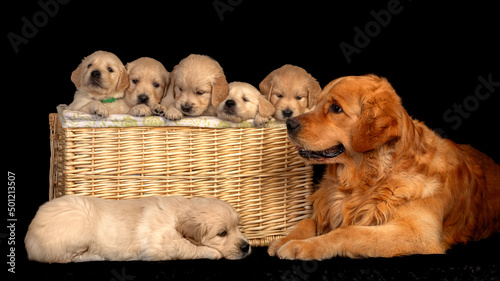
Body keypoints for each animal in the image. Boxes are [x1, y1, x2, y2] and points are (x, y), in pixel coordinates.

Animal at [24, 194, 250, 262]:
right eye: (222, 233)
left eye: (238, 227)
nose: (247, 247)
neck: (177, 214)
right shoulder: (160, 244)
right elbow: (189, 247)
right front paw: (212, 252)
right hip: (79, 226)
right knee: (65, 258)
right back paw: (97, 256)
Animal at [270, 74, 500, 258]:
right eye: (316, 104)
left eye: (336, 108)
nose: (290, 124)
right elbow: (307, 221)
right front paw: (286, 239)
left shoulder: (417, 234)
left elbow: (348, 231)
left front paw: (302, 246)